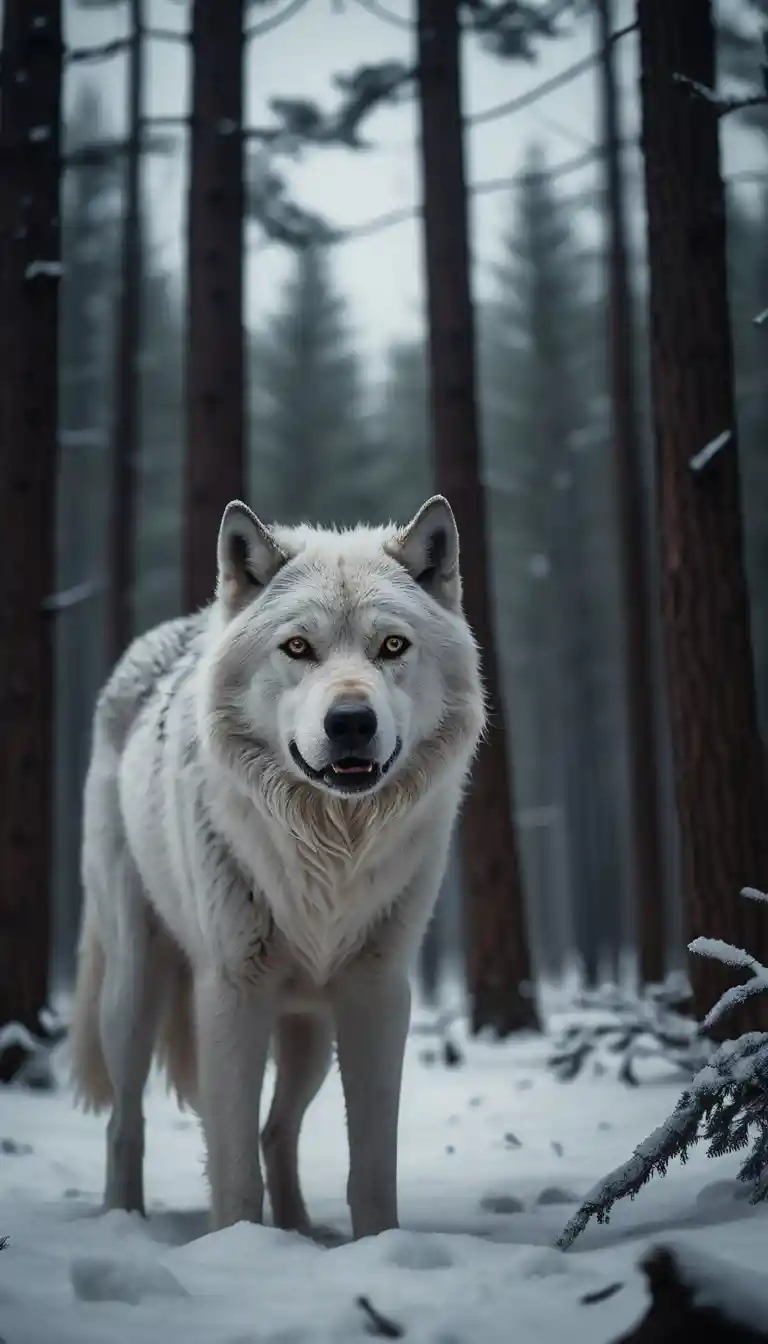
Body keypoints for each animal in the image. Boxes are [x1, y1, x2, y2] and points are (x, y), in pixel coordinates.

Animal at [69, 495, 485, 1240]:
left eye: (392, 647)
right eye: (298, 648)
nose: (350, 721)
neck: (329, 852)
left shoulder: (378, 994)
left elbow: (370, 1168)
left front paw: (373, 1247)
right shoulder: (232, 993)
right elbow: (234, 1170)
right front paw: (237, 1245)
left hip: (309, 1030)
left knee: (277, 1131)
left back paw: (297, 1232)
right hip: (134, 988)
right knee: (126, 1121)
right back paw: (124, 1220)